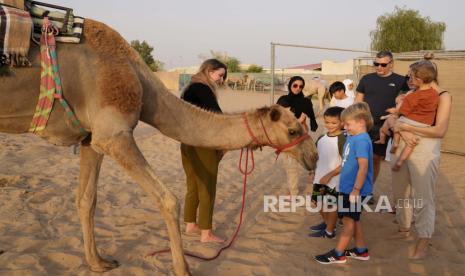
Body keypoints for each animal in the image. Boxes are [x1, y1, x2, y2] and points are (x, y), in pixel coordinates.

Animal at [0, 18, 320, 274]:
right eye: (293, 130)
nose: (314, 156)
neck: (141, 83)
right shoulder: (114, 134)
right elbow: (169, 199)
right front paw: (183, 268)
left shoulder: (92, 138)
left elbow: (86, 199)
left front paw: (98, 263)